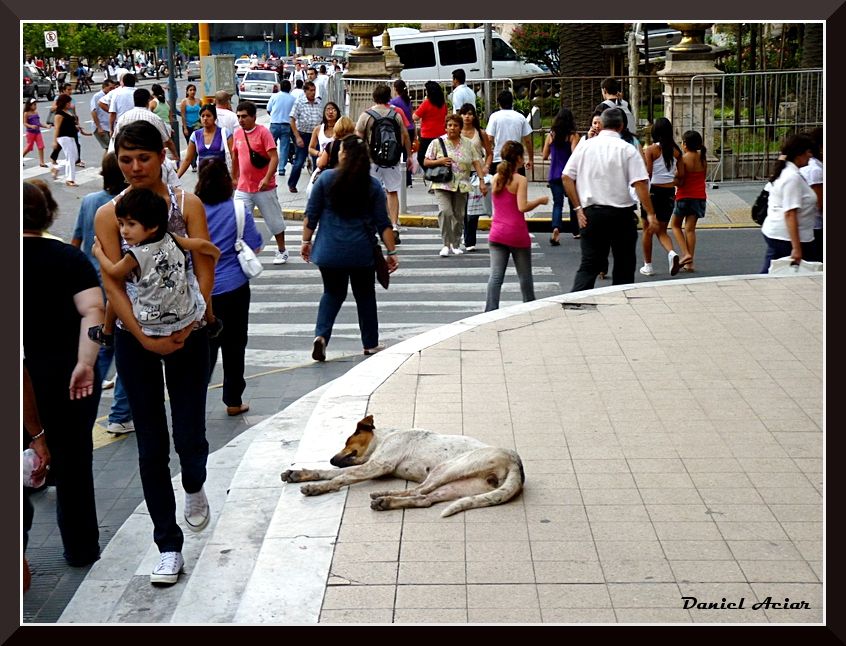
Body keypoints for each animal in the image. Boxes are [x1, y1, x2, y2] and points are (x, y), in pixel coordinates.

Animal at [282, 418, 528, 520]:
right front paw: (300, 474)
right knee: (424, 498)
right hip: (464, 486)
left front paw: (318, 487)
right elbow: (333, 473)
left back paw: (384, 497)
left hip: (447, 468)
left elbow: (340, 478)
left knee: (419, 490)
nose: (332, 459)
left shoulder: (378, 465)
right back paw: (386, 500)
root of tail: (516, 464)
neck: (386, 437)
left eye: (347, 441)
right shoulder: (372, 465)